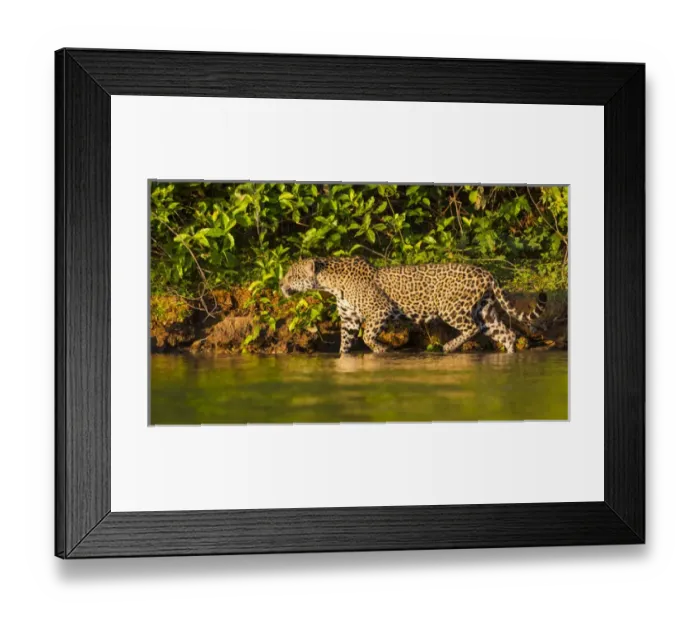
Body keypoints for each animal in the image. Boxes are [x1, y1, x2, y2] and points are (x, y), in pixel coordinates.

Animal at [279, 256, 546, 354]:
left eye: (292, 276)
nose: (281, 285)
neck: (330, 283)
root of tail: (487, 272)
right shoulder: (348, 319)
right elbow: (345, 342)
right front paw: (343, 358)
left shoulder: (379, 310)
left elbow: (367, 335)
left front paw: (381, 349)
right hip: (485, 312)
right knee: (507, 333)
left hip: (452, 308)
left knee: (470, 328)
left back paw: (448, 347)